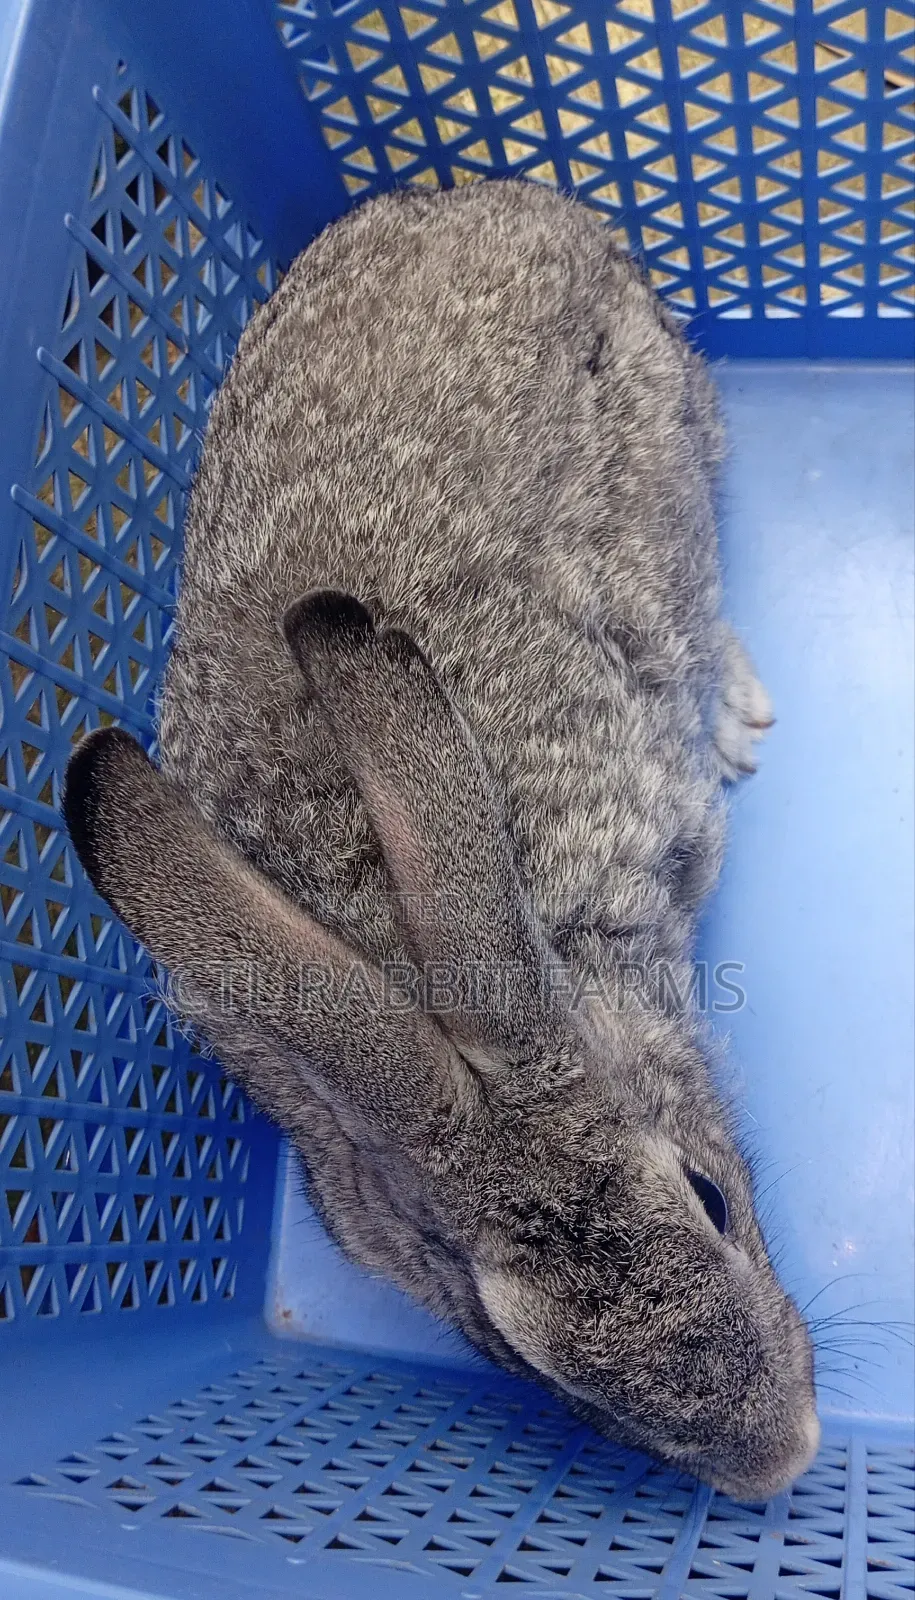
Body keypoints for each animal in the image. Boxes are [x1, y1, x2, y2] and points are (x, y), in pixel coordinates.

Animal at [63, 179, 816, 1502]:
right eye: (528, 1365)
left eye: (714, 1199)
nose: (785, 1461)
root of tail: (501, 201)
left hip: (673, 475)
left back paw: (734, 712)